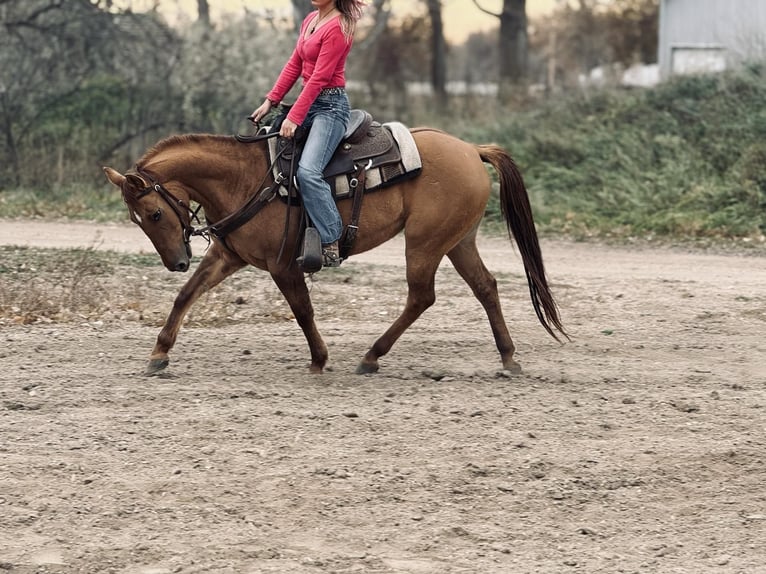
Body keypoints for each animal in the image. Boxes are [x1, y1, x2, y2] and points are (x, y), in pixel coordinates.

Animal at [103, 124, 568, 375]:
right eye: (136, 220)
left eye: (154, 214)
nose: (177, 262)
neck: (247, 178)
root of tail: (472, 149)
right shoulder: (229, 256)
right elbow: (187, 295)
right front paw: (159, 353)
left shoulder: (282, 265)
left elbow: (303, 311)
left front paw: (319, 359)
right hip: (459, 241)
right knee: (485, 287)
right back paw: (508, 358)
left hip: (424, 242)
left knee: (421, 296)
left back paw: (371, 356)